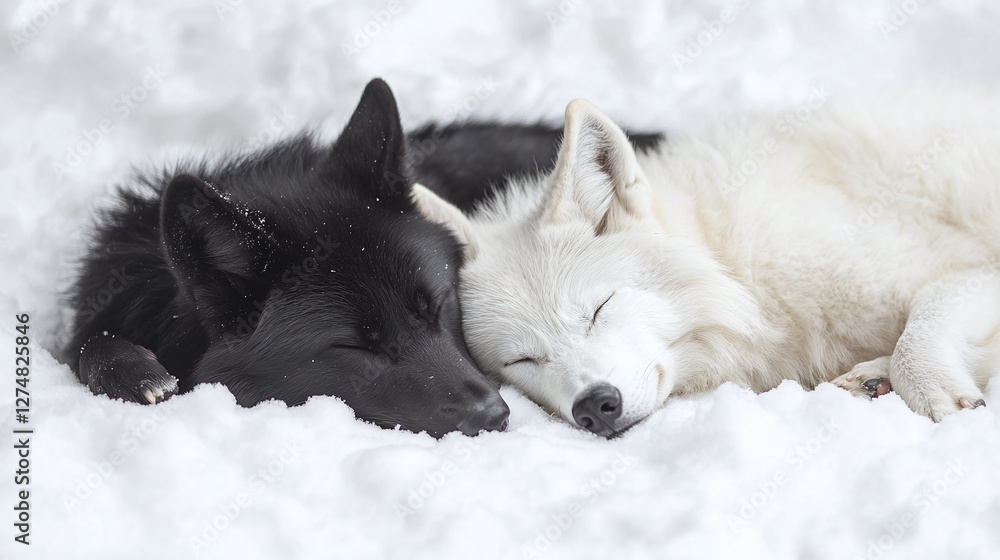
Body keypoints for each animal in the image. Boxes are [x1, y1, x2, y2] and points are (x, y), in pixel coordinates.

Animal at [414, 91, 1000, 436]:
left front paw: (931, 392)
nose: (594, 406)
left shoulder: (969, 268)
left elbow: (918, 330)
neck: (736, 270)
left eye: (599, 309)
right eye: (521, 360)